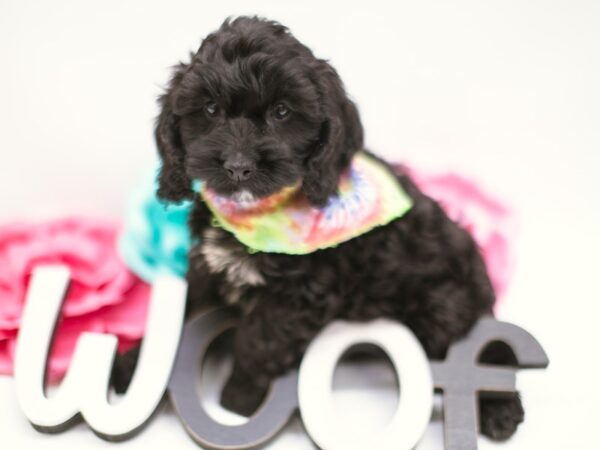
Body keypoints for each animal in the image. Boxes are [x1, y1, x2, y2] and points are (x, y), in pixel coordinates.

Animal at [115, 16, 524, 440]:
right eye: (210, 109)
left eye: (281, 112)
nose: (238, 167)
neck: (256, 216)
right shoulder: (208, 269)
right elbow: (181, 314)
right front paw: (138, 370)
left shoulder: (297, 297)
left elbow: (260, 342)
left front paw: (240, 401)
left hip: (444, 302)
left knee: (485, 348)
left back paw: (499, 410)